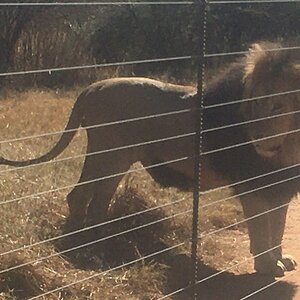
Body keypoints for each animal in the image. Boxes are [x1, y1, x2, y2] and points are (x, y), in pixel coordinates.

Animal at [0, 41, 298, 276]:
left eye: (277, 106)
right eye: (256, 102)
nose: (256, 136)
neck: (288, 145)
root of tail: (93, 87)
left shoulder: (282, 186)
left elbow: (278, 225)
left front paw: (280, 258)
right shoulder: (253, 185)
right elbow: (261, 229)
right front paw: (266, 266)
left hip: (109, 157)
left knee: (92, 200)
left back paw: (101, 240)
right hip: (111, 155)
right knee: (84, 197)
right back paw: (88, 243)